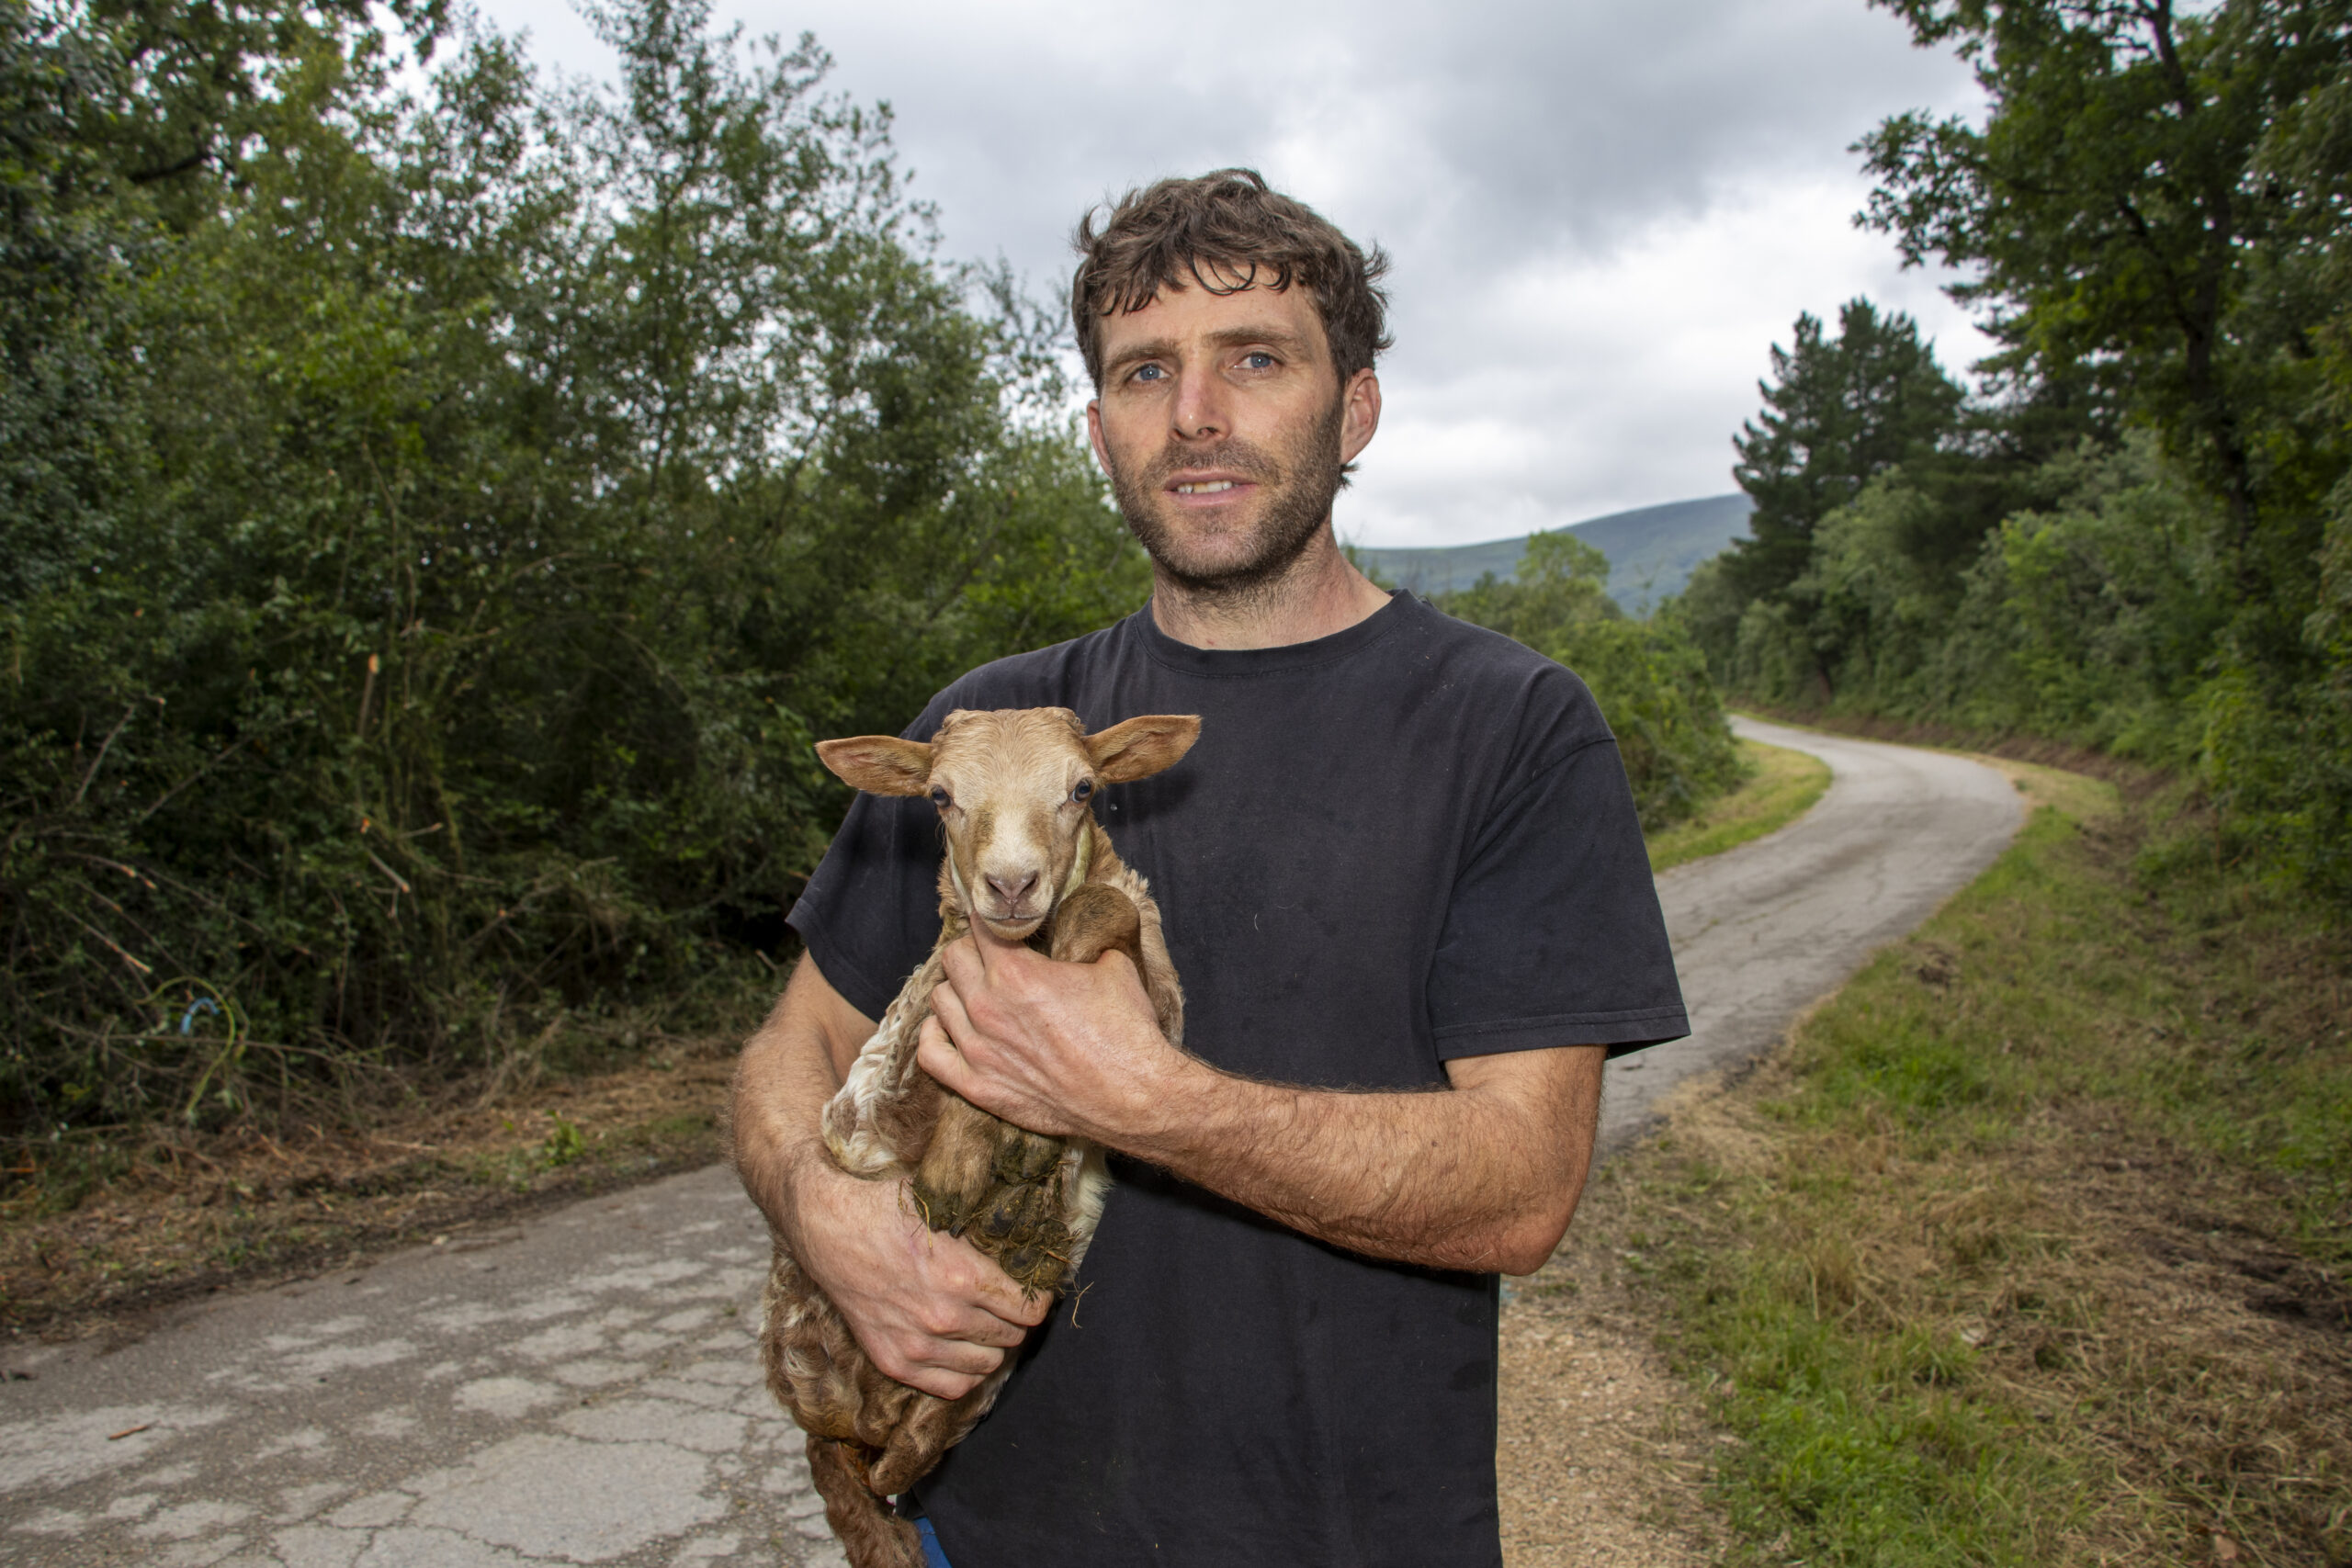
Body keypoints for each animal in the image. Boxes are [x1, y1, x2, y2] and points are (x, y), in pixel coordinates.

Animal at [752, 709, 1194, 1568]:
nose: (1012, 884)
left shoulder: (1158, 1007)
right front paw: (962, 1166)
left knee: (891, 1457)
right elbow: (942, 1066)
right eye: (940, 795)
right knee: (842, 1465)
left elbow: (1102, 907)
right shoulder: (880, 1078)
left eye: (1081, 788)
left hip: (976, 1377)